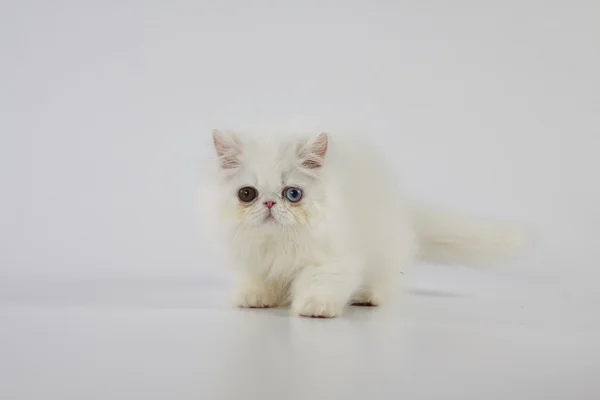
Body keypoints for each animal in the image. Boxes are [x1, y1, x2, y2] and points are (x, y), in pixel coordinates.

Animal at [199, 129, 528, 318]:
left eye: (293, 194)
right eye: (247, 194)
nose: (268, 204)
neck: (278, 243)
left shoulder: (333, 258)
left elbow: (319, 283)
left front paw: (314, 307)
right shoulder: (252, 258)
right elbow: (255, 279)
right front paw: (253, 298)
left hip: (386, 248)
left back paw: (367, 297)